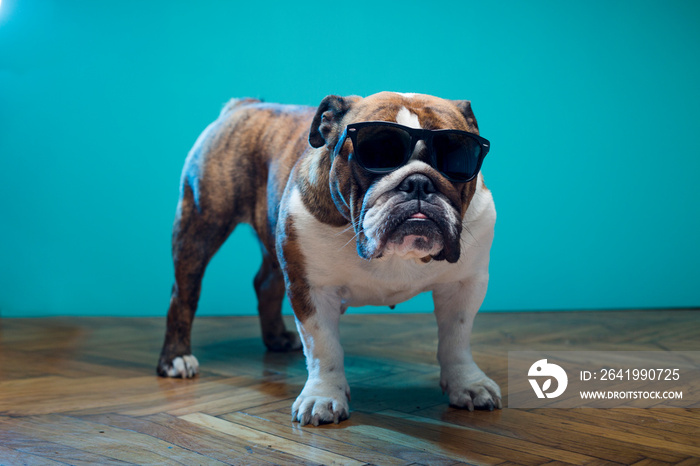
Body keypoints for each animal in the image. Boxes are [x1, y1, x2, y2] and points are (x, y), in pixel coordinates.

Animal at [157, 91, 500, 426]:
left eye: (456, 157)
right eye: (377, 154)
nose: (419, 183)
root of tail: (243, 106)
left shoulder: (464, 285)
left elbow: (456, 340)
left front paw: (467, 384)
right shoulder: (311, 289)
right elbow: (324, 347)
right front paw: (322, 397)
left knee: (265, 284)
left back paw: (276, 338)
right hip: (200, 225)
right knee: (183, 294)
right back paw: (175, 359)